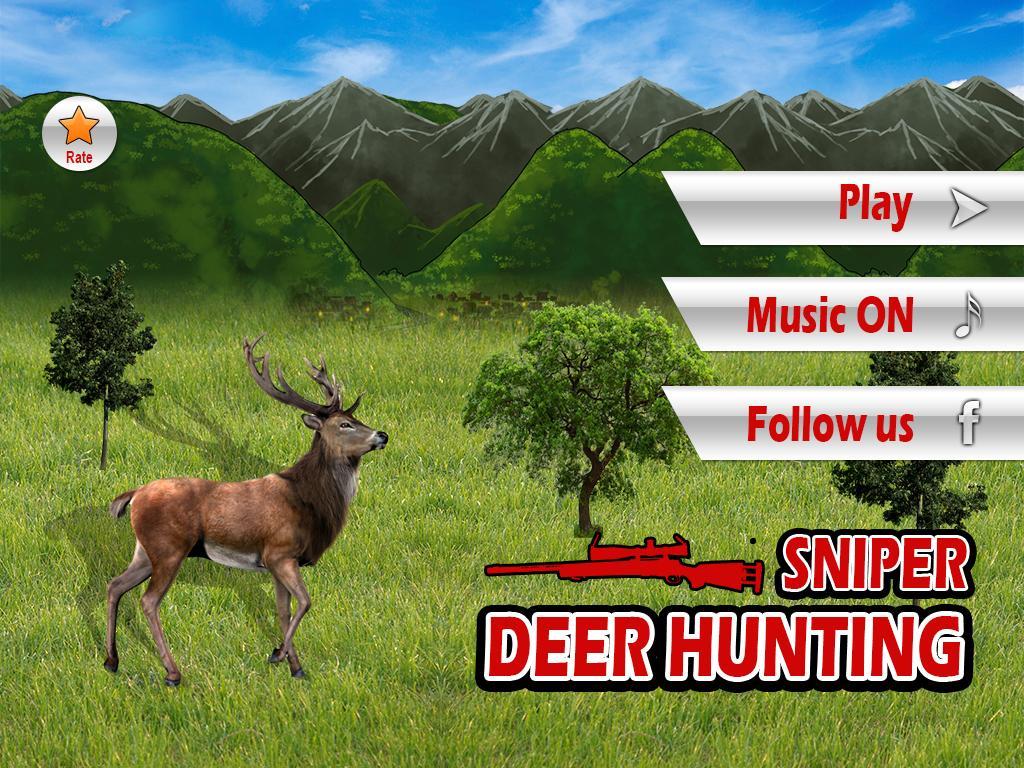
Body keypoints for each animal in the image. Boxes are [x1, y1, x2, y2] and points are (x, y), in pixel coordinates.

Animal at [104, 335, 388, 685]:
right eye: (345, 424)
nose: (382, 435)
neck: (310, 501)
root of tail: (135, 495)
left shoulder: (277, 562)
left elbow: (284, 610)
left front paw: (296, 667)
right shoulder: (280, 551)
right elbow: (305, 602)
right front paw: (278, 654)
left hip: (144, 550)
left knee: (114, 585)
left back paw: (112, 661)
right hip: (169, 547)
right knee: (148, 600)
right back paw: (172, 672)